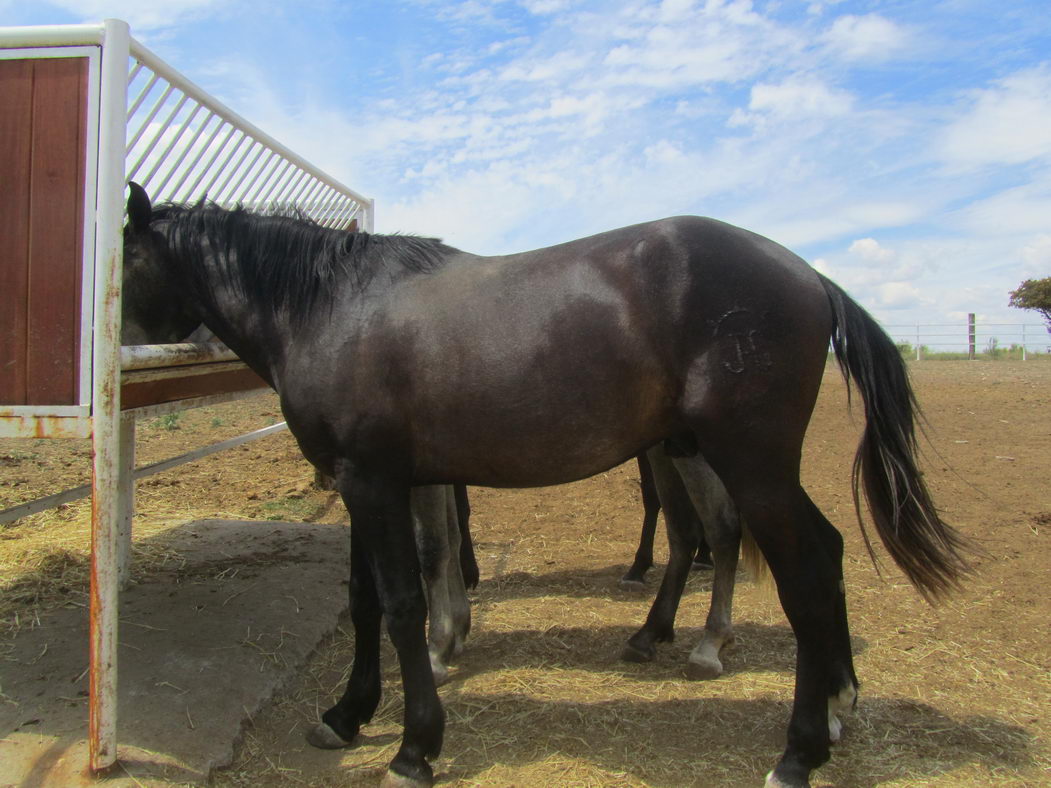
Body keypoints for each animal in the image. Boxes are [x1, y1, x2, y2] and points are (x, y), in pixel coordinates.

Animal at [120, 184, 966, 788]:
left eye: (122, 259)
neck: (332, 307)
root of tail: (807, 274)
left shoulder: (373, 481)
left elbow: (401, 605)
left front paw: (414, 749)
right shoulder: (365, 484)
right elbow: (364, 602)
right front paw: (347, 714)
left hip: (748, 463)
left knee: (803, 572)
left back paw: (796, 751)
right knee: (818, 553)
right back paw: (834, 705)